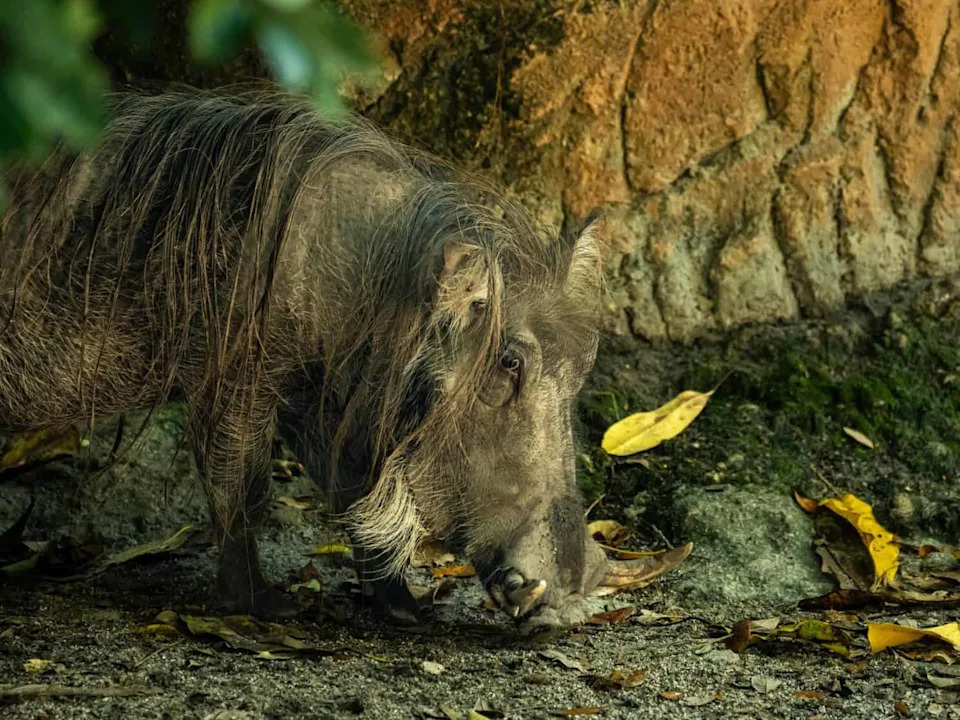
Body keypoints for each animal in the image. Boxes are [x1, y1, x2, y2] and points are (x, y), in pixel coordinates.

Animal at [0, 90, 608, 624]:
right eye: (509, 363)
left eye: (581, 372)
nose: (570, 600)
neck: (373, 281)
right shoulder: (239, 381)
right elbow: (243, 491)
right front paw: (261, 605)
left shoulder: (318, 397)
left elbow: (354, 491)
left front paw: (401, 610)